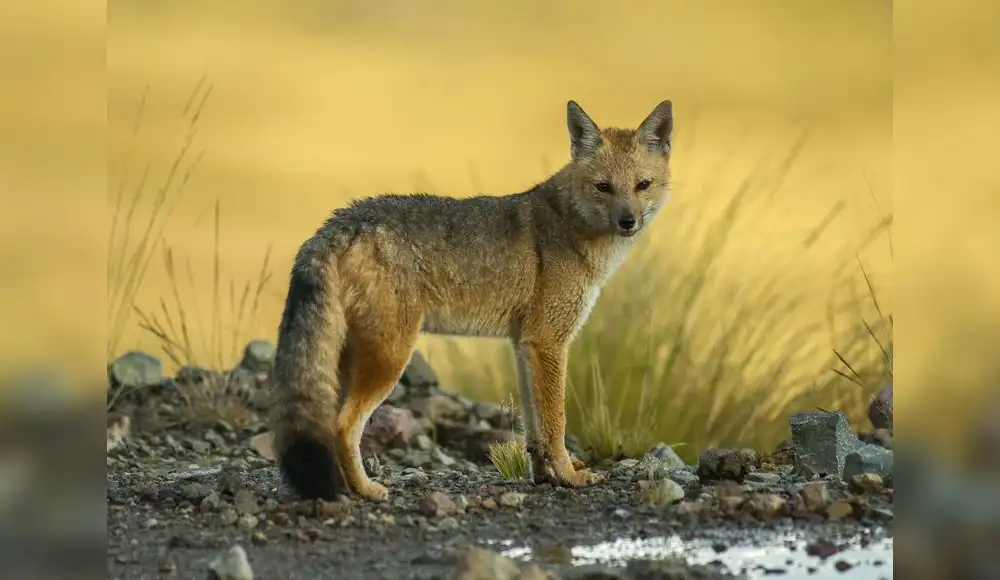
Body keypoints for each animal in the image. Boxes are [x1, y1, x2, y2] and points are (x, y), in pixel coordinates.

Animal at [269, 99, 674, 501]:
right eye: (603, 187)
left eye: (642, 185)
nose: (628, 221)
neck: (570, 225)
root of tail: (340, 220)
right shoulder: (548, 342)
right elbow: (555, 422)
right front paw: (569, 475)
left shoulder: (524, 344)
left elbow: (534, 426)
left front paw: (545, 475)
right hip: (390, 358)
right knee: (344, 425)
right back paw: (365, 490)